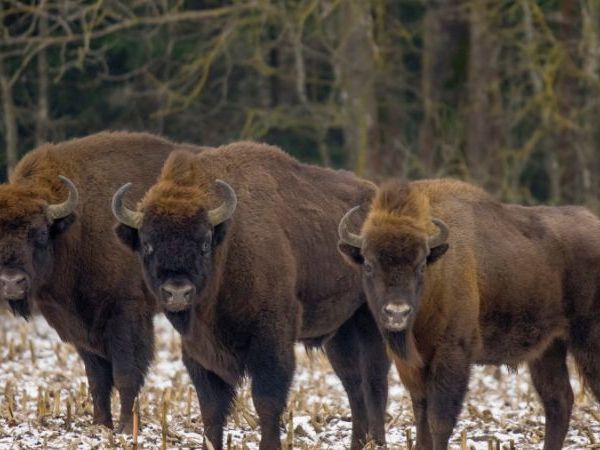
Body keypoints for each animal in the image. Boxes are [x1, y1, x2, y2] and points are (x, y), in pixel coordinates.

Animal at [0, 133, 203, 432]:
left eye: (39, 233)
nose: (12, 282)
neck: (76, 225)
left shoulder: (126, 312)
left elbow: (125, 374)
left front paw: (125, 428)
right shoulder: (81, 326)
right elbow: (97, 379)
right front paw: (101, 424)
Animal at [112, 142, 392, 450]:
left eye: (204, 242)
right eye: (147, 243)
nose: (178, 292)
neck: (228, 246)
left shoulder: (271, 339)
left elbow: (266, 400)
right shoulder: (200, 352)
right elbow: (211, 408)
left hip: (372, 323)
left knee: (375, 382)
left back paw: (378, 441)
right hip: (341, 332)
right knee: (353, 385)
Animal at [338, 178, 600, 450]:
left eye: (420, 265)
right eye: (369, 265)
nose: (397, 313)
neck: (438, 271)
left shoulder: (452, 353)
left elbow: (438, 420)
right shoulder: (412, 365)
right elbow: (421, 416)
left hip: (588, 341)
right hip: (549, 348)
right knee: (558, 400)